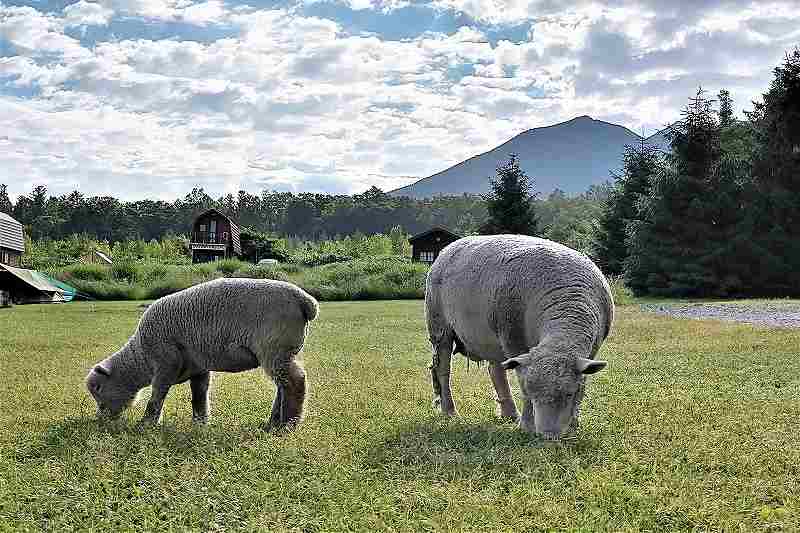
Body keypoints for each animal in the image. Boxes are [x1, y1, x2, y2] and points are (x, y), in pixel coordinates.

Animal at [86, 276, 318, 430]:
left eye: (98, 389)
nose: (100, 420)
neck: (141, 358)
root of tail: (306, 301)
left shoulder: (165, 362)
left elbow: (157, 395)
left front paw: (146, 424)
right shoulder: (198, 367)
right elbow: (199, 395)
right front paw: (200, 422)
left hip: (274, 348)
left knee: (296, 381)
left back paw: (287, 425)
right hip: (280, 352)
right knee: (283, 385)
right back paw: (273, 422)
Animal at [424, 235, 612, 438]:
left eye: (569, 393)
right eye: (532, 391)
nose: (548, 435)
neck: (566, 306)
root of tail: (449, 247)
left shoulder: (591, 351)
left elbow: (583, 384)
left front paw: (574, 424)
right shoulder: (514, 340)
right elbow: (522, 381)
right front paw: (527, 426)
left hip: (492, 337)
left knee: (496, 370)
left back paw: (510, 414)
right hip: (439, 326)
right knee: (443, 370)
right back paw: (450, 411)